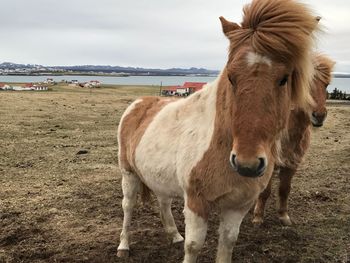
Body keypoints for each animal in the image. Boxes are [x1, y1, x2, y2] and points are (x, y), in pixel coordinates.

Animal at [117, 0, 318, 263]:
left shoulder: (238, 207)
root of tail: (139, 103)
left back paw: (174, 234)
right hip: (128, 173)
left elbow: (227, 243)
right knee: (128, 207)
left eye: (284, 78)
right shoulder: (196, 202)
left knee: (163, 201)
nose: (247, 164)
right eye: (231, 77)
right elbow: (193, 246)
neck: (220, 146)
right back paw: (123, 246)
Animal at [253, 54, 334, 227]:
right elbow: (265, 191)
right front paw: (258, 217)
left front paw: (283, 216)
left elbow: (284, 189)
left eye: (326, 84)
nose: (319, 115)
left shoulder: (292, 164)